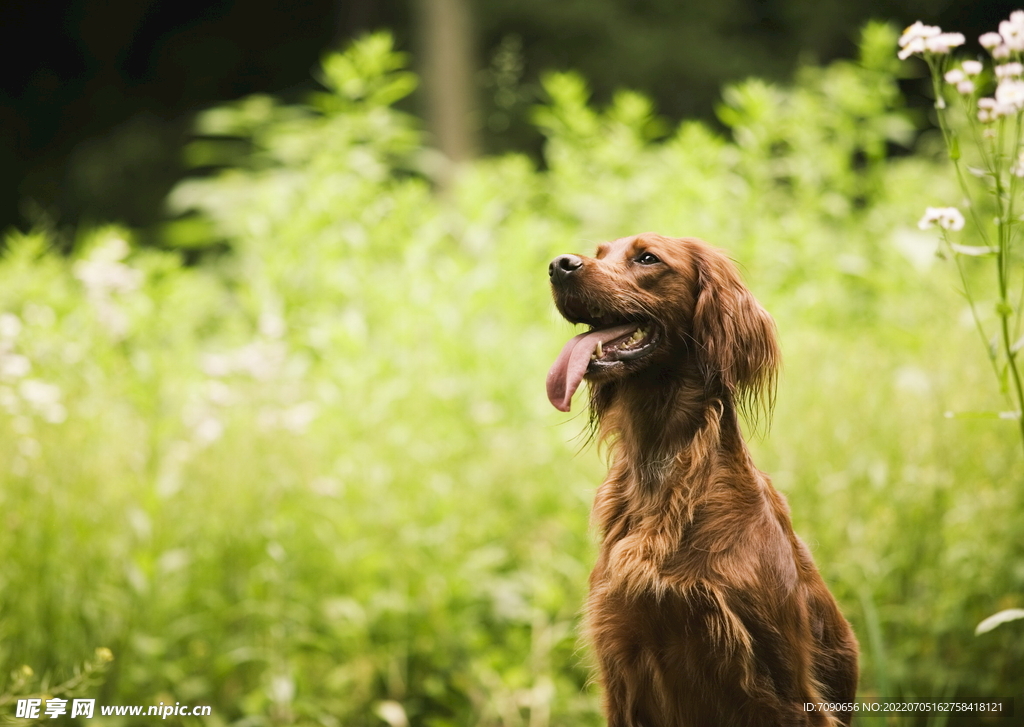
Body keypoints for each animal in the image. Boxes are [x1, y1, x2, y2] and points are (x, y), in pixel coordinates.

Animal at [544, 234, 856, 727]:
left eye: (647, 258)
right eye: (599, 252)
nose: (559, 265)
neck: (662, 472)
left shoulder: (784, 688)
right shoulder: (622, 666)